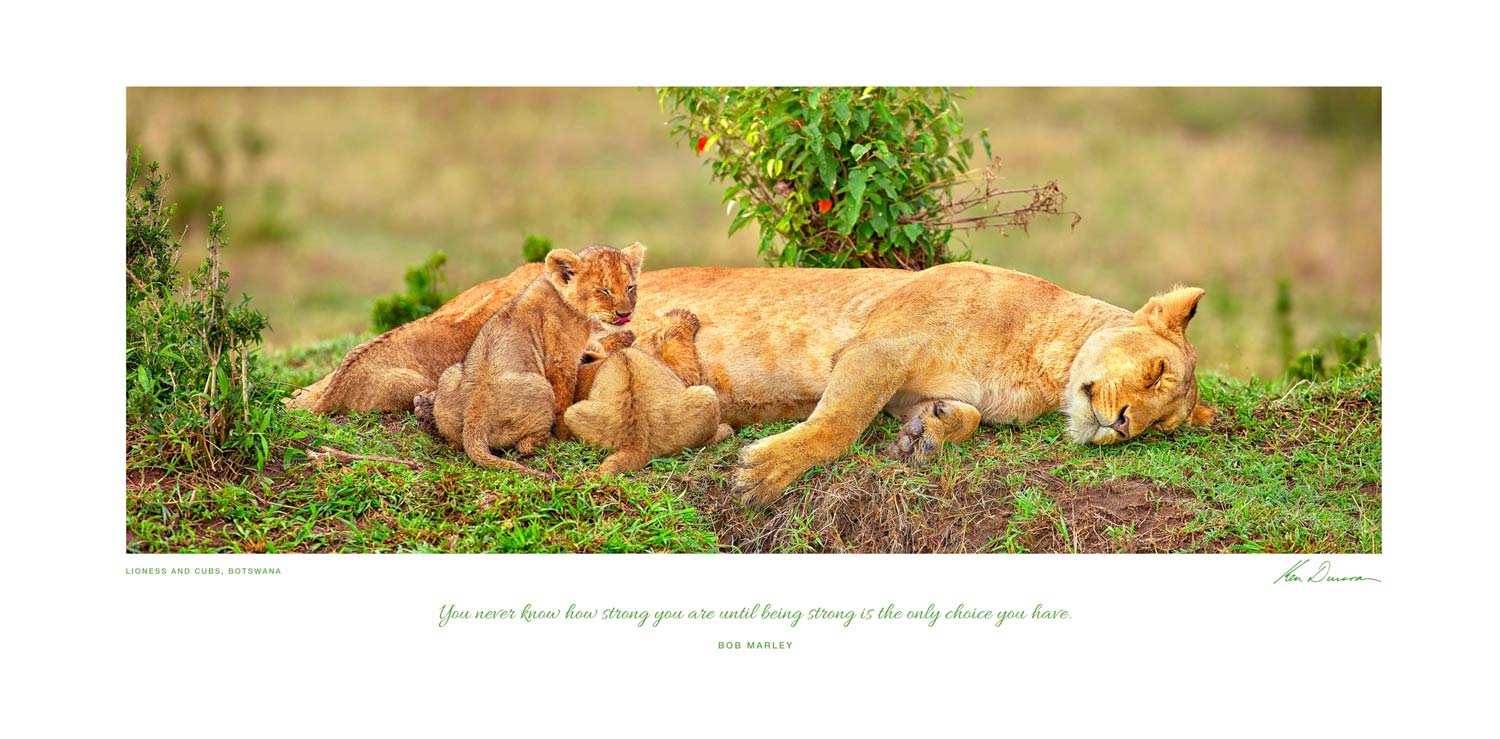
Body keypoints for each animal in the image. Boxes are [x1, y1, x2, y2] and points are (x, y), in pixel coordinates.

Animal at [427, 243, 645, 476]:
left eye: (630, 287)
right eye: (604, 290)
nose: (625, 314)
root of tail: (475, 417)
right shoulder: (560, 361)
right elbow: (563, 401)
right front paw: (566, 436)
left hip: (449, 375)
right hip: (540, 385)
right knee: (525, 445)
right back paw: (551, 443)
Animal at [563, 308, 734, 476]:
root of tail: (636, 445)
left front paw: (623, 335)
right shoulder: (677, 372)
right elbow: (678, 350)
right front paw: (681, 316)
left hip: (571, 413)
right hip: (706, 395)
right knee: (703, 443)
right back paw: (726, 430)